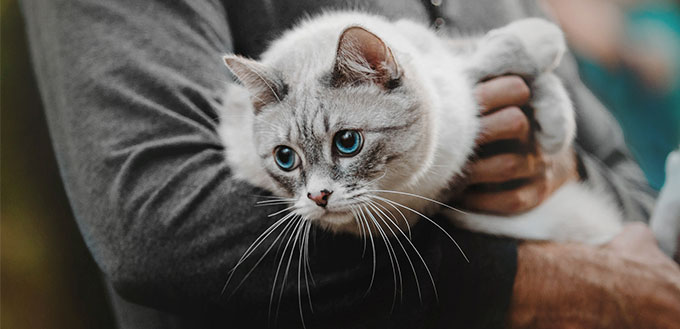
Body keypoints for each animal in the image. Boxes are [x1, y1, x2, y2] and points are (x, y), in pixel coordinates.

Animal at [218, 10, 620, 249]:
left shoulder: (452, 73)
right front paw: (555, 132)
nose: (318, 197)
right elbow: (499, 55)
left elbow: (500, 52)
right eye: (286, 159)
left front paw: (555, 129)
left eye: (347, 142)